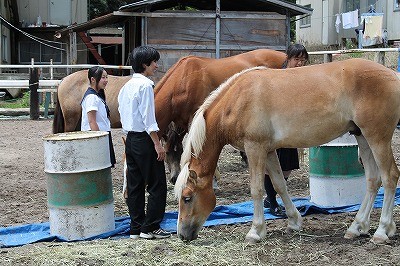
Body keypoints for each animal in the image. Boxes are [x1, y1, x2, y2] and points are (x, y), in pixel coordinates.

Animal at [174, 58, 400, 245]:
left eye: (187, 197)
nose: (182, 235)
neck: (238, 100)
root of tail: (392, 74)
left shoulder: (255, 148)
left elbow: (257, 189)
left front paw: (255, 231)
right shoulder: (268, 151)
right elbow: (279, 184)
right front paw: (294, 221)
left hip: (377, 138)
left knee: (390, 177)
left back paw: (381, 231)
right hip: (362, 136)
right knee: (373, 180)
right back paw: (358, 227)